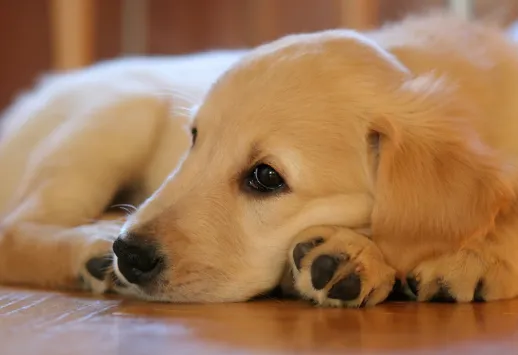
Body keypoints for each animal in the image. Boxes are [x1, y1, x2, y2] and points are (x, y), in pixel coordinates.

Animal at [0, 13, 518, 308]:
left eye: (266, 176)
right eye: (194, 139)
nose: (128, 254)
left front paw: (474, 257)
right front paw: (354, 255)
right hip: (120, 113)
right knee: (14, 229)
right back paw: (90, 247)